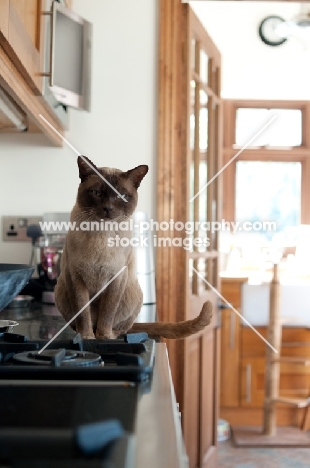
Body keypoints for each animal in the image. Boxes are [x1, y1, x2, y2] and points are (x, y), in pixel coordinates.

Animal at [54, 157, 212, 340]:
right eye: (97, 193)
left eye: (122, 196)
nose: (108, 208)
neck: (102, 234)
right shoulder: (76, 278)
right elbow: (83, 313)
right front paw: (86, 337)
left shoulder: (116, 278)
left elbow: (107, 313)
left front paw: (103, 337)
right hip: (61, 290)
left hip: (133, 294)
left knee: (122, 327)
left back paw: (111, 335)